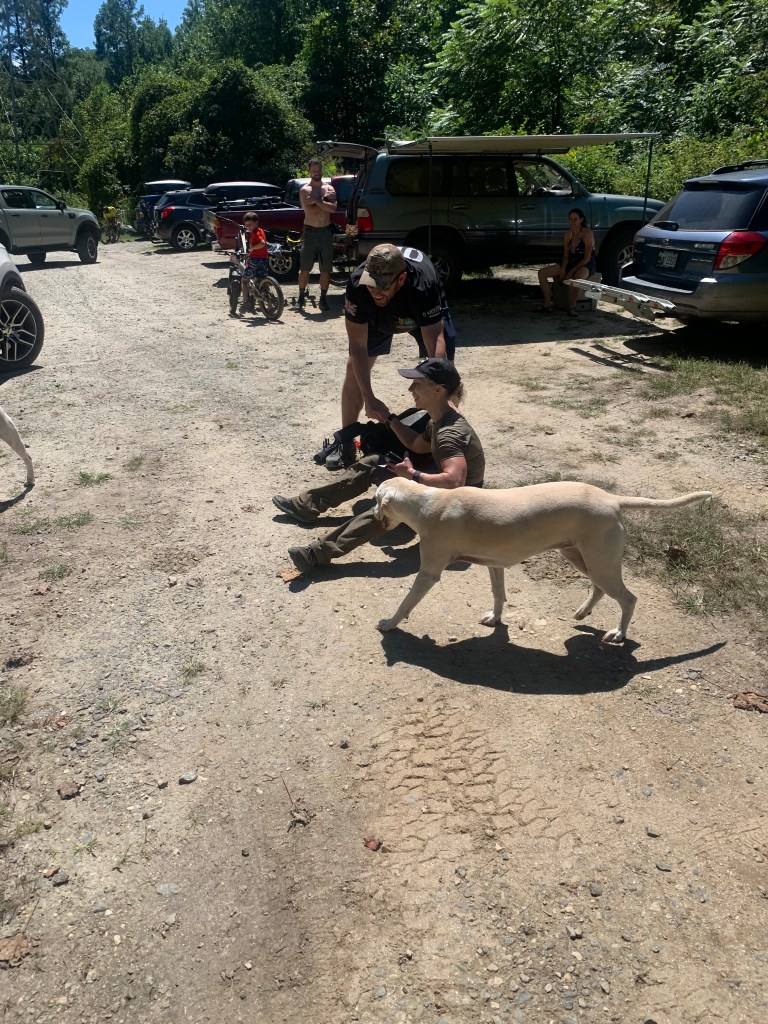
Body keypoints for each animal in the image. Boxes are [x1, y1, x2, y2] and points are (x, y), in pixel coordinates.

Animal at [374, 478, 712, 643]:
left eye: (376, 500)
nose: (373, 515)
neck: (426, 502)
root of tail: (612, 500)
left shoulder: (429, 572)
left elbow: (406, 602)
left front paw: (389, 623)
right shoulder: (494, 564)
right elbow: (499, 594)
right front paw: (495, 618)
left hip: (600, 564)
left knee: (628, 598)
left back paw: (618, 633)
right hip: (581, 557)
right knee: (599, 589)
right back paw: (583, 612)